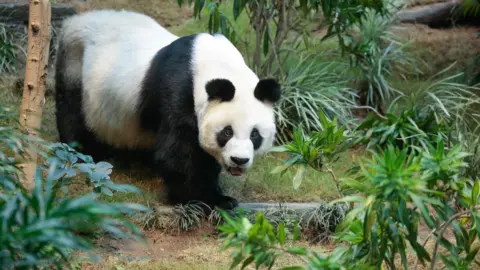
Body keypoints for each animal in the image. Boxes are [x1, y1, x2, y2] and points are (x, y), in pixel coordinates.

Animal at [53, 9, 282, 210]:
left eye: (255, 135)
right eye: (227, 132)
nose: (239, 160)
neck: (217, 64)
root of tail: (74, 20)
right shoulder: (178, 88)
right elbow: (179, 151)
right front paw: (203, 198)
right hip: (75, 64)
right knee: (72, 111)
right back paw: (83, 152)